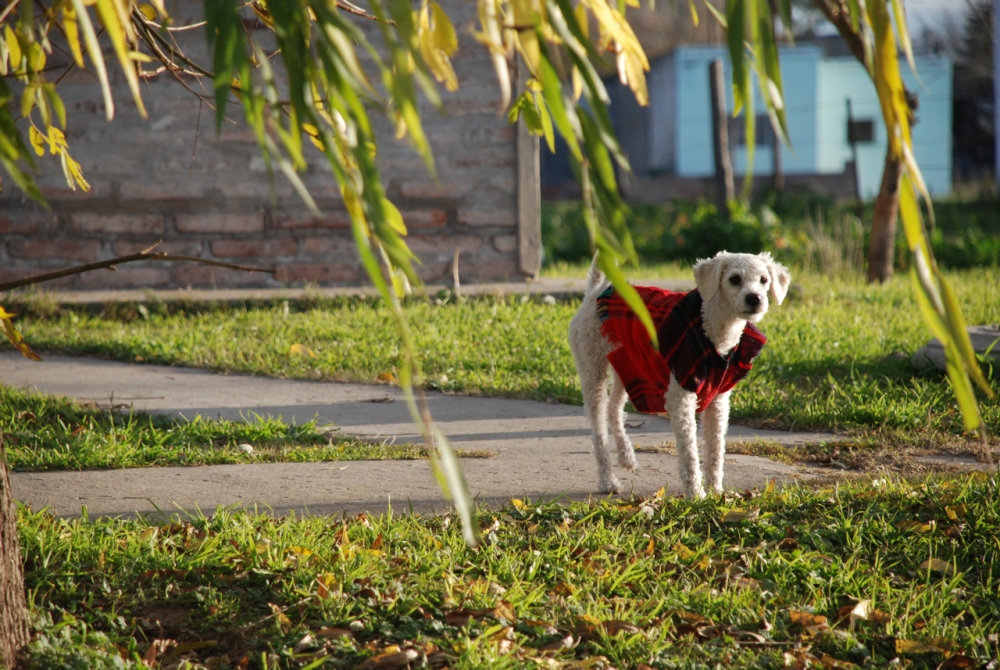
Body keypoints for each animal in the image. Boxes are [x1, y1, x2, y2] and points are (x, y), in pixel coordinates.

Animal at [572, 252, 788, 498]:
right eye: (734, 279)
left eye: (764, 280)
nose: (755, 298)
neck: (710, 330)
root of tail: (594, 292)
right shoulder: (682, 395)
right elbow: (690, 451)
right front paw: (696, 494)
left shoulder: (718, 399)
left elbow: (716, 448)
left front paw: (716, 491)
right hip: (592, 365)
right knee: (598, 425)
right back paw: (608, 481)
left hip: (627, 365)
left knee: (613, 408)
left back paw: (626, 457)